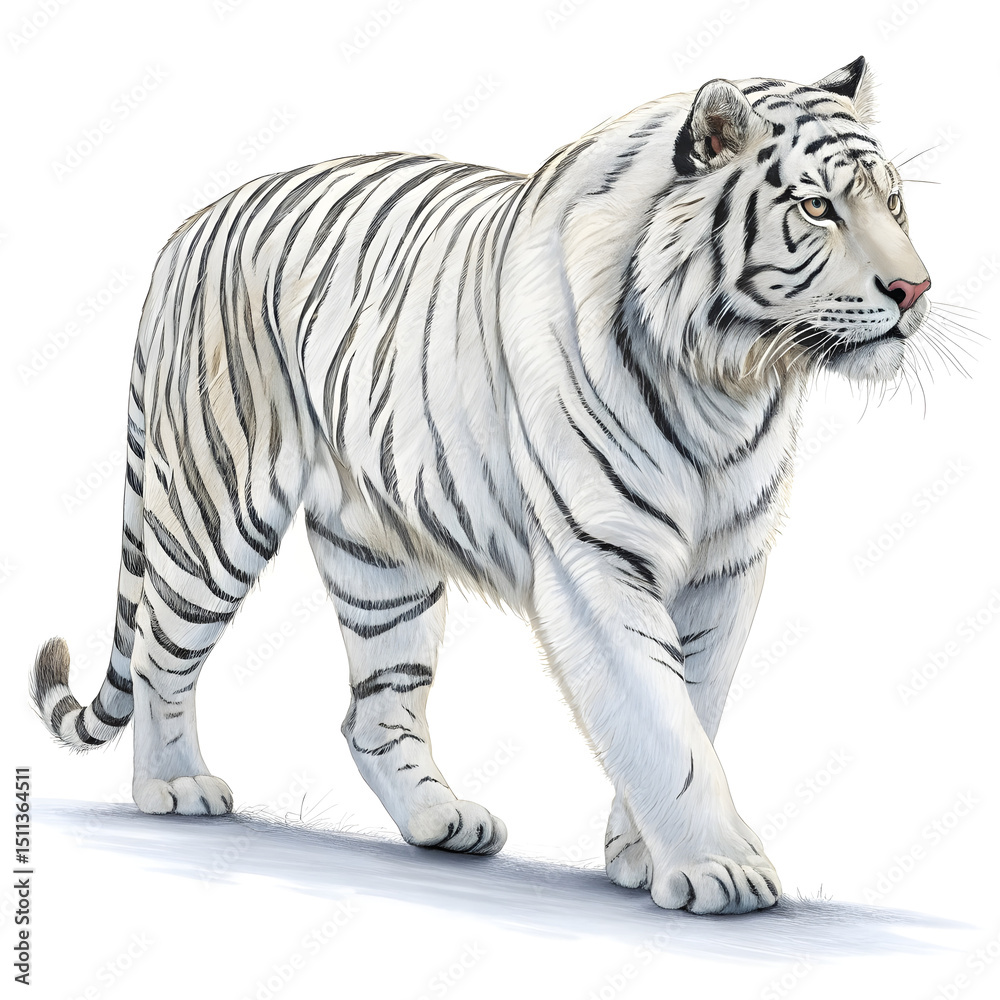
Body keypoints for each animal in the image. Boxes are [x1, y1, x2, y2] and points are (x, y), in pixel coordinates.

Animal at [31, 55, 934, 915]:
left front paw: (642, 857)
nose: (915, 289)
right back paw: (174, 786)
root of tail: (190, 228)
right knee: (161, 652)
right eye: (817, 208)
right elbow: (656, 716)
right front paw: (718, 871)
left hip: (380, 557)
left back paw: (442, 821)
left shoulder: (727, 567)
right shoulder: (597, 558)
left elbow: (695, 709)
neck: (729, 378)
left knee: (374, 710)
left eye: (894, 204)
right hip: (213, 512)